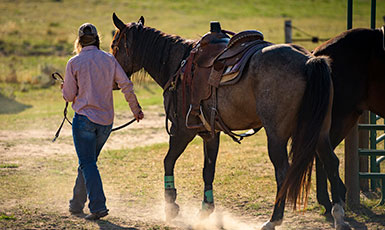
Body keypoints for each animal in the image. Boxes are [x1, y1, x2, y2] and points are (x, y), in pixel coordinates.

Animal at [112, 13, 352, 229]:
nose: (114, 82)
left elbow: (168, 161)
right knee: (331, 162)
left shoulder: (182, 130)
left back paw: (273, 220)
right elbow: (208, 170)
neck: (178, 64)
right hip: (319, 131)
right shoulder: (211, 133)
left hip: (277, 135)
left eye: (115, 45)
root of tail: (309, 60)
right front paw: (206, 209)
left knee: (283, 172)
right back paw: (339, 216)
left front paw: (171, 206)